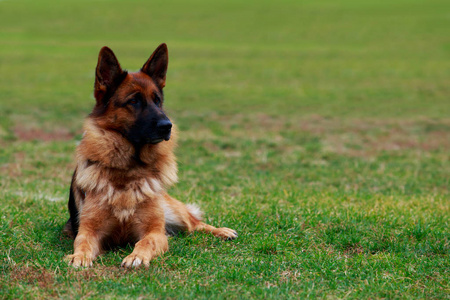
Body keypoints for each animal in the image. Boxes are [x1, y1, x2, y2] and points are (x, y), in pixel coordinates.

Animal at [65, 44, 239, 268]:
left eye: (157, 100)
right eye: (134, 101)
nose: (167, 126)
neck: (129, 170)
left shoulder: (155, 232)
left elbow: (145, 242)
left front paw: (136, 256)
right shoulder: (89, 230)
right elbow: (83, 243)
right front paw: (78, 257)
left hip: (174, 213)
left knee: (195, 224)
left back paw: (222, 231)